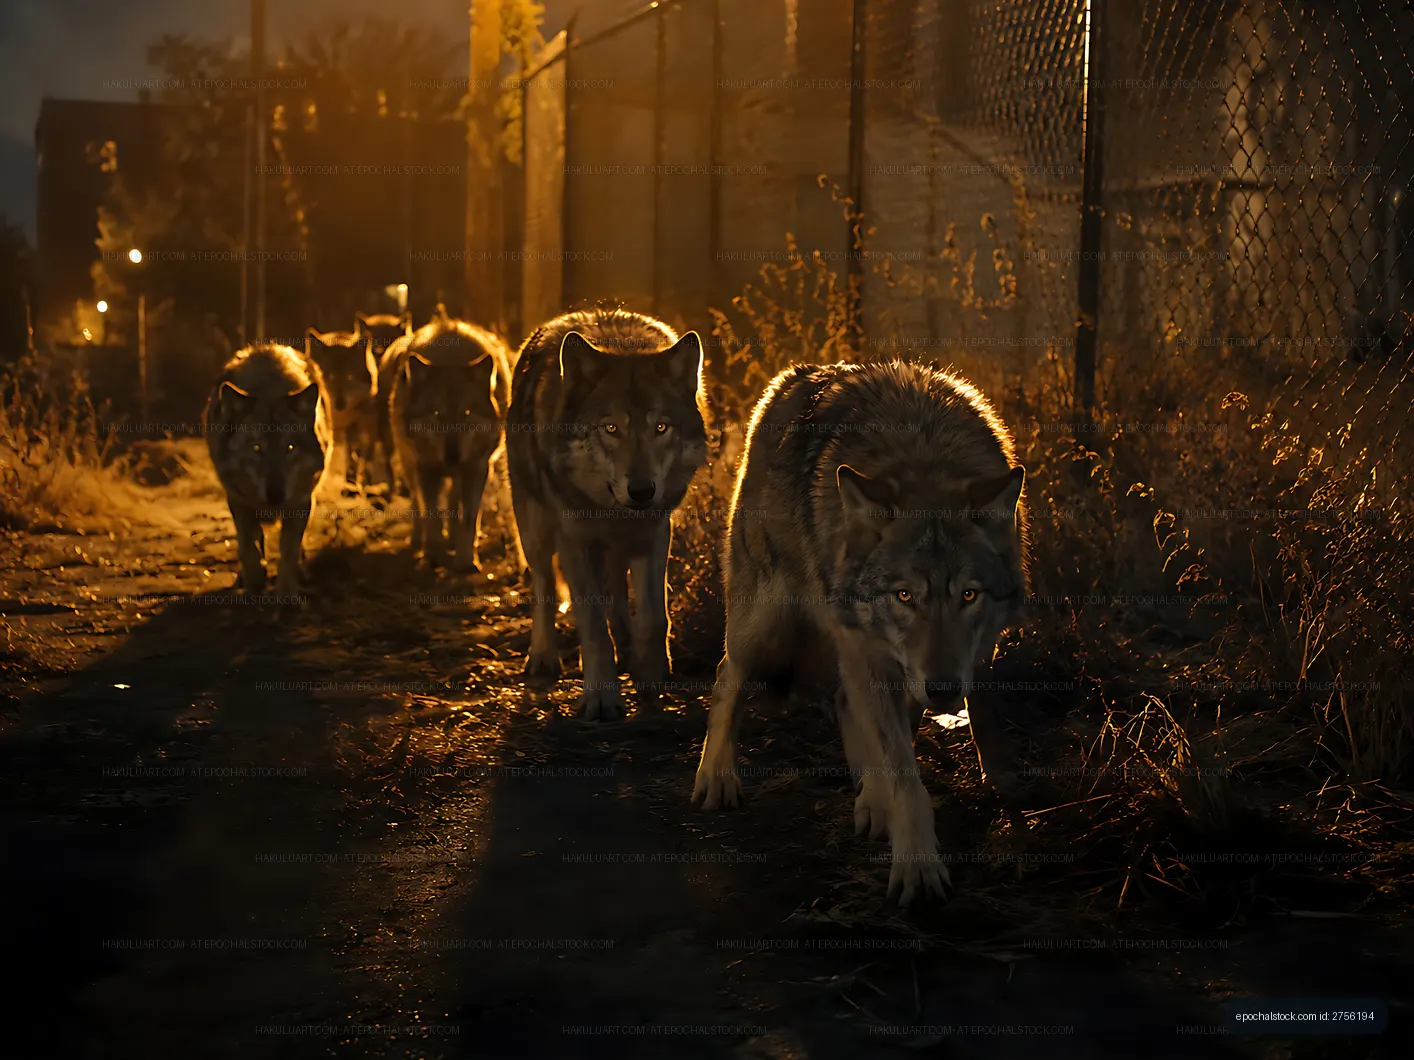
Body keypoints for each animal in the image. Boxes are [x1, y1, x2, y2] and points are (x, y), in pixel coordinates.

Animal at [203, 343, 332, 599]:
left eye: (290, 448)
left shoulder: (300, 502)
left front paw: (287, 594)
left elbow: (289, 551)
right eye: (256, 448)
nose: (275, 495)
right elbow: (248, 546)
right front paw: (254, 583)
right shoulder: (238, 500)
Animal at [305, 325, 377, 488]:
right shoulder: (337, 432)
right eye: (330, 376)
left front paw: (362, 480)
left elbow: (365, 458)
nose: (339, 405)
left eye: (349, 376)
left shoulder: (368, 431)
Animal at [387, 317, 513, 571]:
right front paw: (434, 556)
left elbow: (468, 519)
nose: (452, 456)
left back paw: (453, 539)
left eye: (466, 413)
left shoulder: (476, 468)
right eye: (436, 413)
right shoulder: (426, 468)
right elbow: (431, 516)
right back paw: (418, 541)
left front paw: (465, 560)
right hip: (409, 465)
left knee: (455, 505)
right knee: (416, 503)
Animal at [506, 308, 709, 721]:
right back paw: (543, 658)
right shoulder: (575, 542)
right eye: (611, 427)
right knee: (544, 586)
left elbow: (653, 616)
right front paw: (601, 697)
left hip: (613, 552)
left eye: (661, 427)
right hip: (535, 530)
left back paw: (628, 654)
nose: (642, 491)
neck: (616, 514)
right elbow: (593, 626)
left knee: (616, 599)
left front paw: (650, 675)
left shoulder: (654, 533)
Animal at [690, 361, 1029, 905]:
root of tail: (792, 376)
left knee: (846, 704)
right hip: (764, 625)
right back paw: (716, 777)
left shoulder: (960, 656)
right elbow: (903, 771)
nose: (943, 690)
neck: (923, 452)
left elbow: (930, 727)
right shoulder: (870, 653)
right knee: (726, 676)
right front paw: (918, 866)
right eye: (905, 595)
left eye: (968, 595)